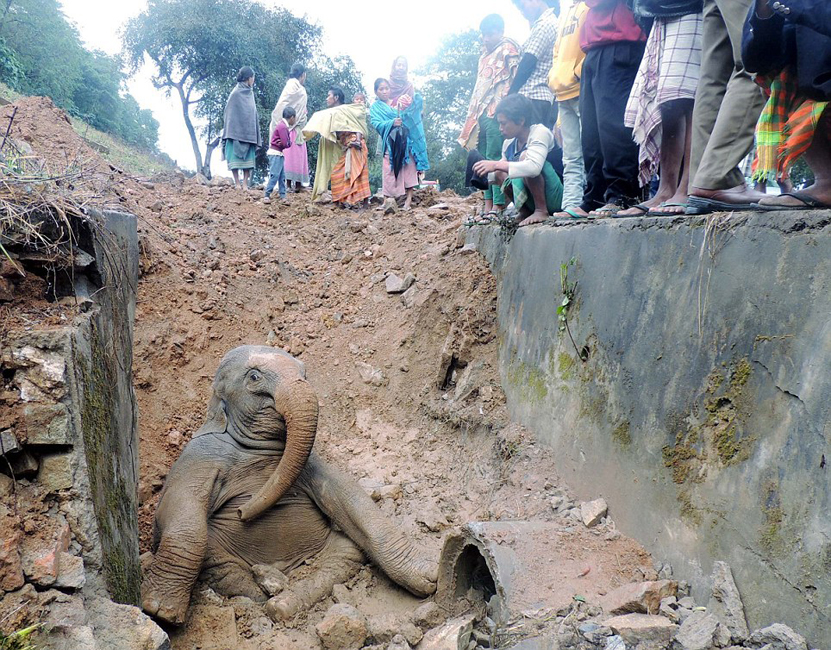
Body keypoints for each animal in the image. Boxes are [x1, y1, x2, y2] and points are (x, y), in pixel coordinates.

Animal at [141, 345, 437, 625]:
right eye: (254, 377)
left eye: (305, 374)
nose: (241, 512)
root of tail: (285, 569)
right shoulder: (197, 457)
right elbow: (179, 512)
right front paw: (161, 611)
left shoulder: (312, 462)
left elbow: (347, 495)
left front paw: (429, 576)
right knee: (214, 557)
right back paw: (262, 594)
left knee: (345, 553)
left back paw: (281, 605)